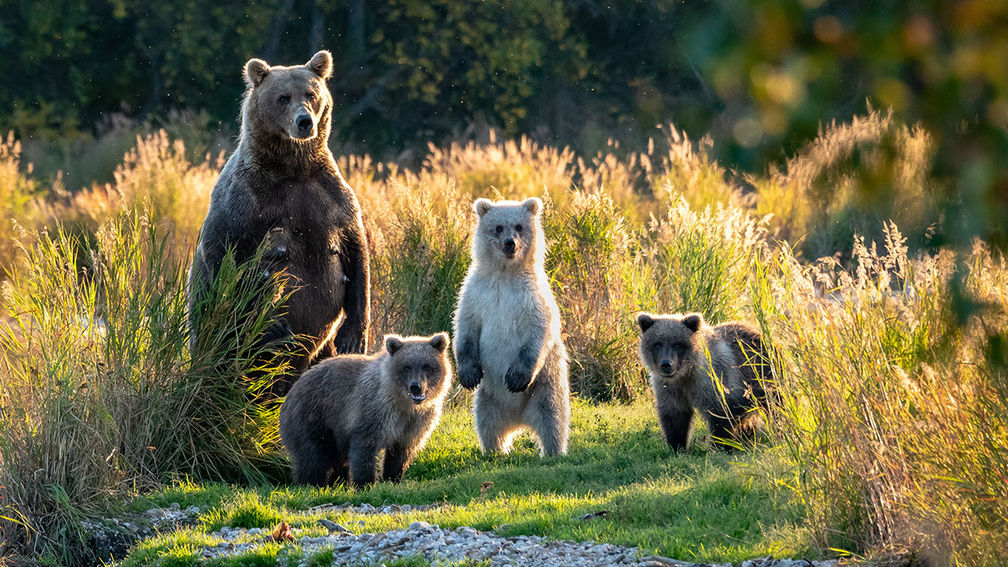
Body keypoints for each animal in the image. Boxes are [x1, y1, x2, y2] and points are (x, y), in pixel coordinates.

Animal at [187, 49, 368, 393]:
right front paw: (275, 326)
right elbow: (226, 256)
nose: (304, 121)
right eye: (283, 97)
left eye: (311, 94)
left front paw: (353, 336)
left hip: (320, 352)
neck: (293, 168)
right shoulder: (247, 202)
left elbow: (356, 253)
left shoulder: (330, 197)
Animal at [276, 330, 449, 486]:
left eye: (427, 366)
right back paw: (311, 484)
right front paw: (366, 483)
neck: (403, 404)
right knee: (312, 456)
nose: (416, 387)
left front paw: (392, 479)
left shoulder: (415, 422)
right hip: (312, 417)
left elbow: (400, 453)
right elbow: (364, 447)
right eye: (406, 367)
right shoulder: (374, 409)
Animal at [453, 197, 572, 454]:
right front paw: (468, 374)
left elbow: (538, 331)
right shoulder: (476, 293)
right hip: (489, 397)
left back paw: (553, 451)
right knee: (487, 423)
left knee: (553, 419)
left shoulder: (533, 297)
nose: (510, 243)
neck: (505, 274)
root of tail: (519, 420)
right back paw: (494, 450)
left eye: (518, 226)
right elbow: (466, 327)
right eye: (498, 227)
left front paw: (515, 377)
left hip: (545, 386)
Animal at [637, 310, 770, 447]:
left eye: (677, 344)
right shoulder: (668, 387)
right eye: (657, 344)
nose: (666, 364)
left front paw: (722, 445)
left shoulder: (713, 380)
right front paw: (677, 445)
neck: (685, 375)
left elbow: (720, 415)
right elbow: (675, 416)